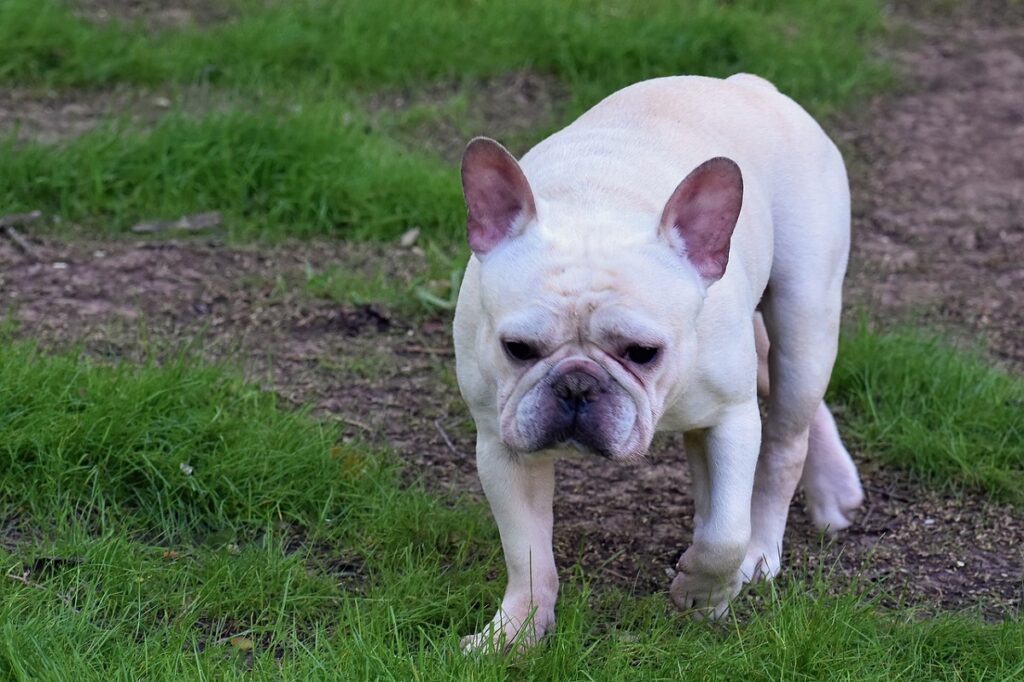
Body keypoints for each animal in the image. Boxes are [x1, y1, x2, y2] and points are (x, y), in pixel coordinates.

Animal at [452, 73, 860, 647]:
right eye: (518, 349)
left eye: (643, 353)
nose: (576, 385)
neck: (598, 202)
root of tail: (751, 85)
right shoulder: (502, 444)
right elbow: (527, 556)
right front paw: (513, 634)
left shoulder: (732, 419)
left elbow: (724, 535)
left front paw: (702, 592)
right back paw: (834, 491)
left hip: (806, 316)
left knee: (785, 439)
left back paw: (763, 550)